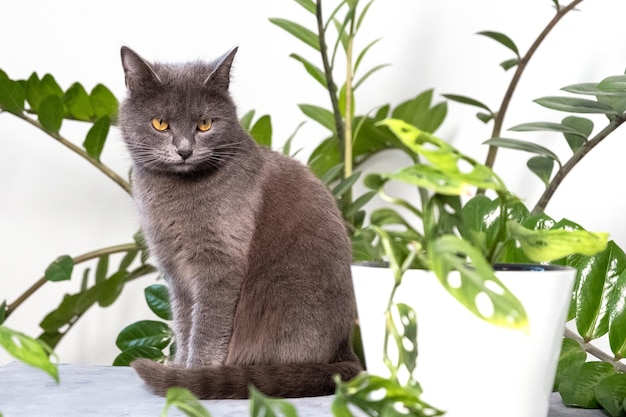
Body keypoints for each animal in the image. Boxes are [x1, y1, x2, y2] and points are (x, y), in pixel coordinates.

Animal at [117, 47, 360, 398]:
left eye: (205, 124)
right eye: (160, 123)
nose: (184, 150)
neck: (175, 195)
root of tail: (345, 350)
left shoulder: (220, 264)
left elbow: (206, 329)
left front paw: (193, 376)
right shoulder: (174, 268)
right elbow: (184, 323)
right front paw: (180, 367)